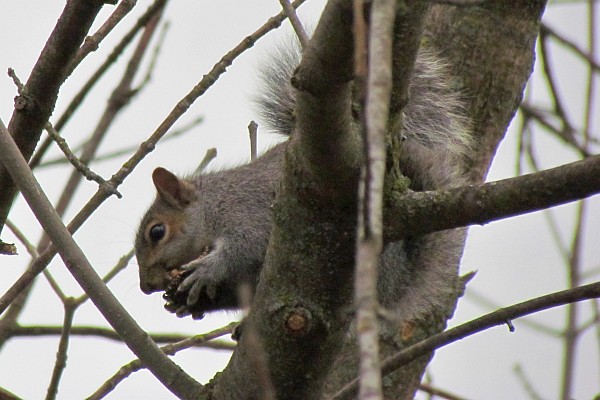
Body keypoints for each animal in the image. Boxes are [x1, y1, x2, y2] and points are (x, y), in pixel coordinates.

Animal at [134, 42, 472, 320]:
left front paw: (208, 268)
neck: (213, 205)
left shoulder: (247, 211)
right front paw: (188, 299)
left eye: (157, 232)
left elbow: (244, 246)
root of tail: (395, 289)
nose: (146, 287)